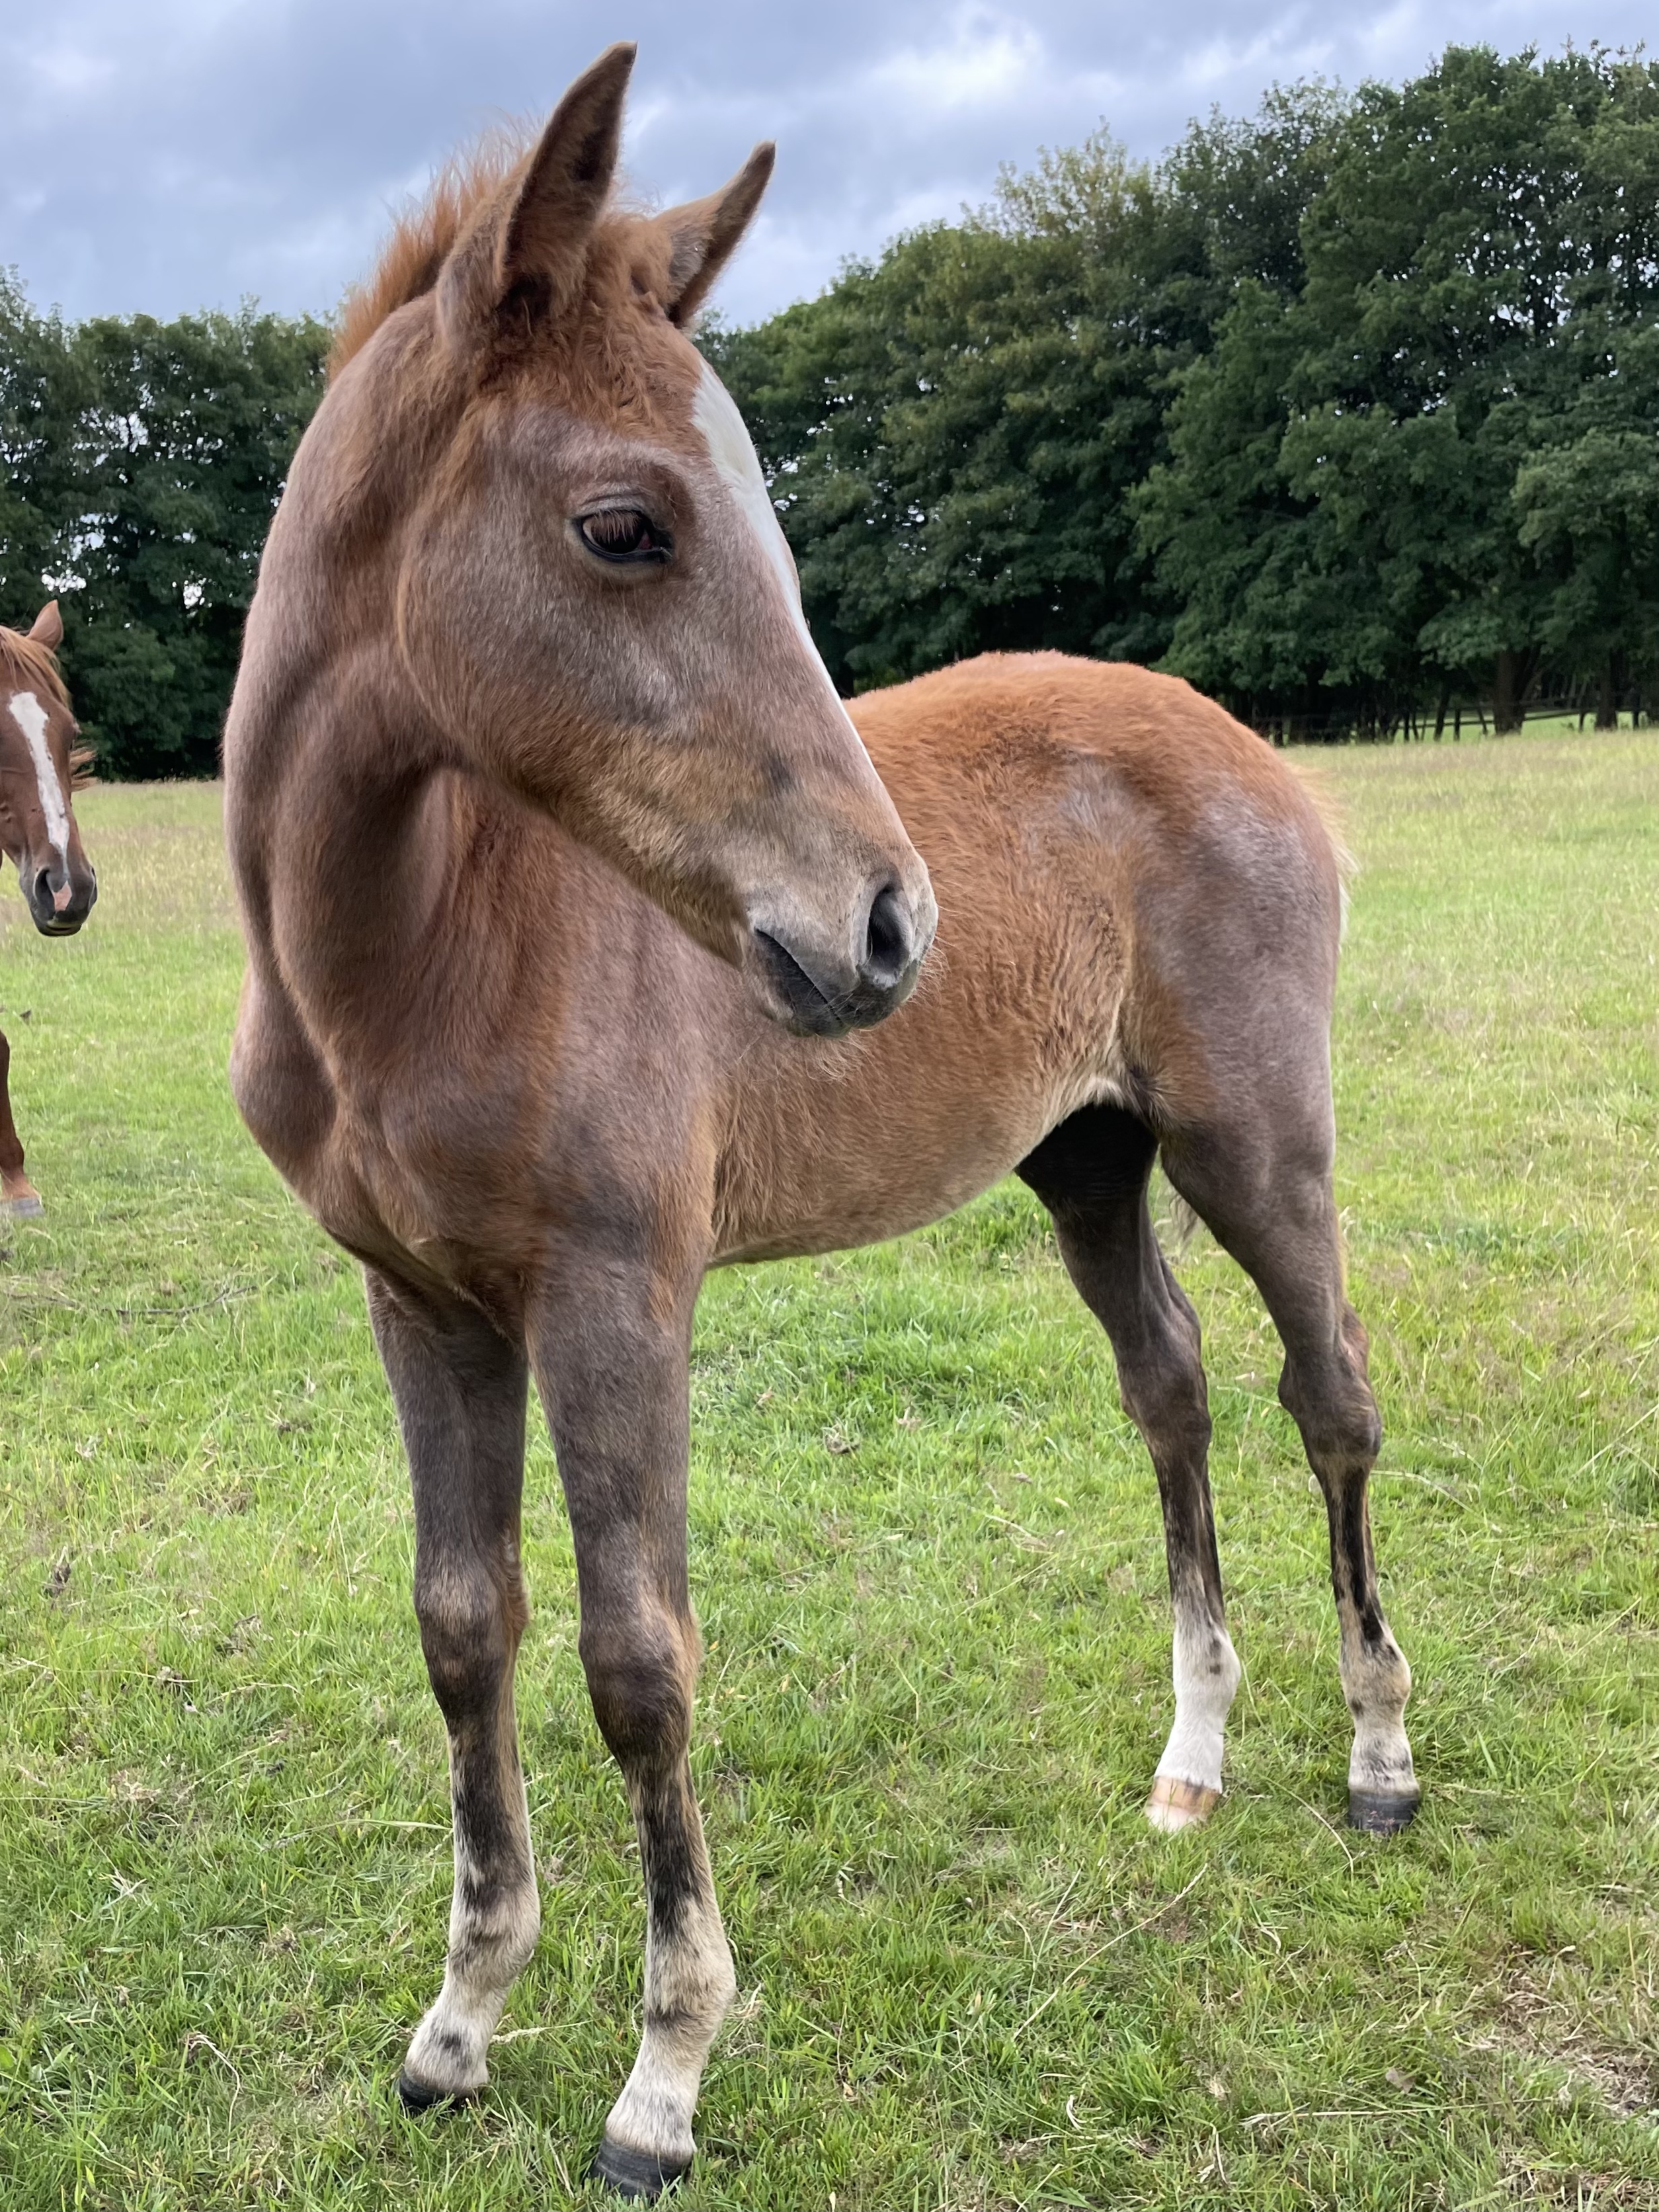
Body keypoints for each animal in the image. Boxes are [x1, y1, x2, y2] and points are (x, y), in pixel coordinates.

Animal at [224, 45, 1418, 2199]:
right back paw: (1191, 1759)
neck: (423, 943)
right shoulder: (419, 1304)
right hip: (1085, 1158)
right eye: (623, 525)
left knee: (1326, 1392)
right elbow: (462, 1625)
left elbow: (636, 1659)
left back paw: (1376, 1757)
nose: (883, 929)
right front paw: (458, 2023)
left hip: (1252, 1142)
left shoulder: (618, 1295)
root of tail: (1247, 743)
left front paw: (662, 2072)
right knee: (1173, 1389)